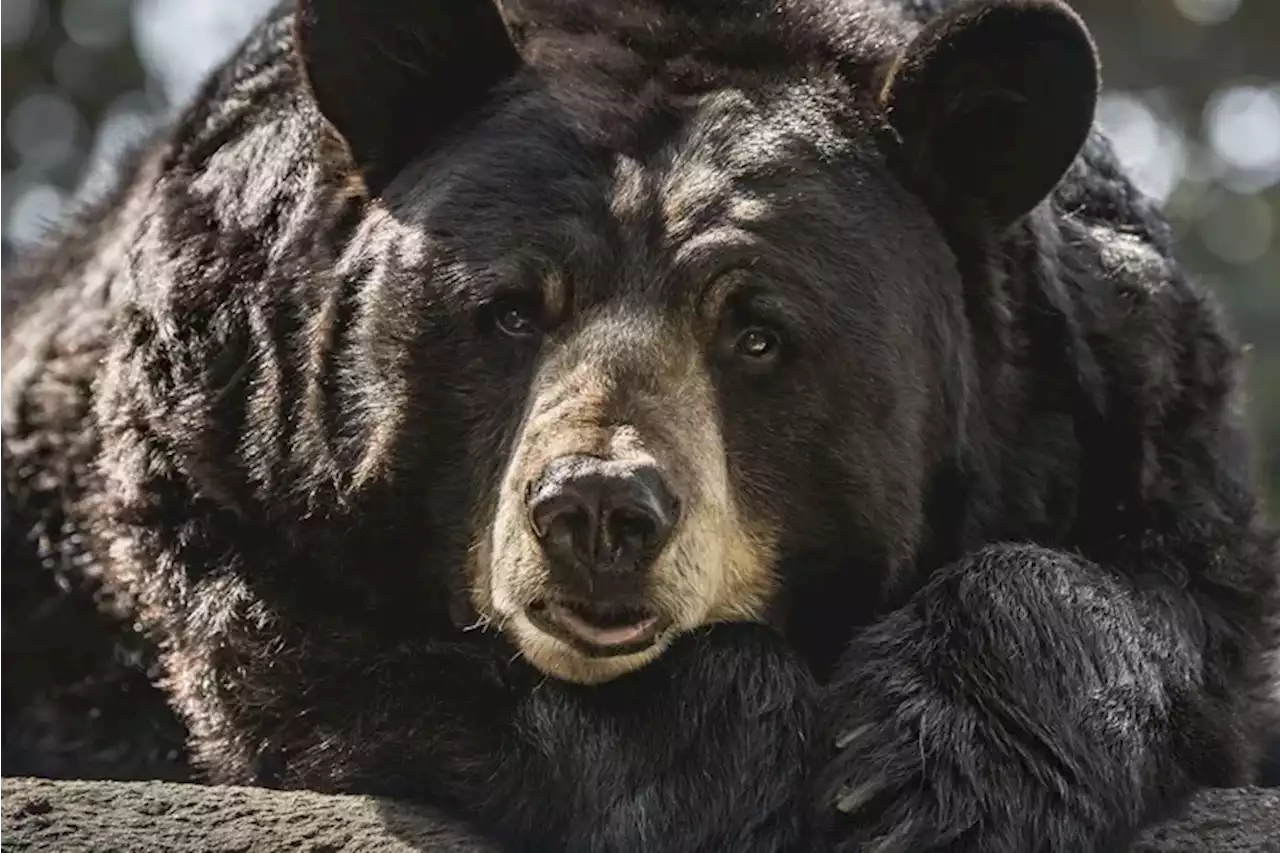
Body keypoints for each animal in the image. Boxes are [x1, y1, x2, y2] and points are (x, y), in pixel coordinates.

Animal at [0, 0, 1274, 845]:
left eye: (757, 332)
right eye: (510, 308)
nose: (597, 511)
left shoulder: (1112, 396)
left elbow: (1167, 597)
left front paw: (927, 778)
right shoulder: (232, 435)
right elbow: (324, 652)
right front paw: (731, 754)